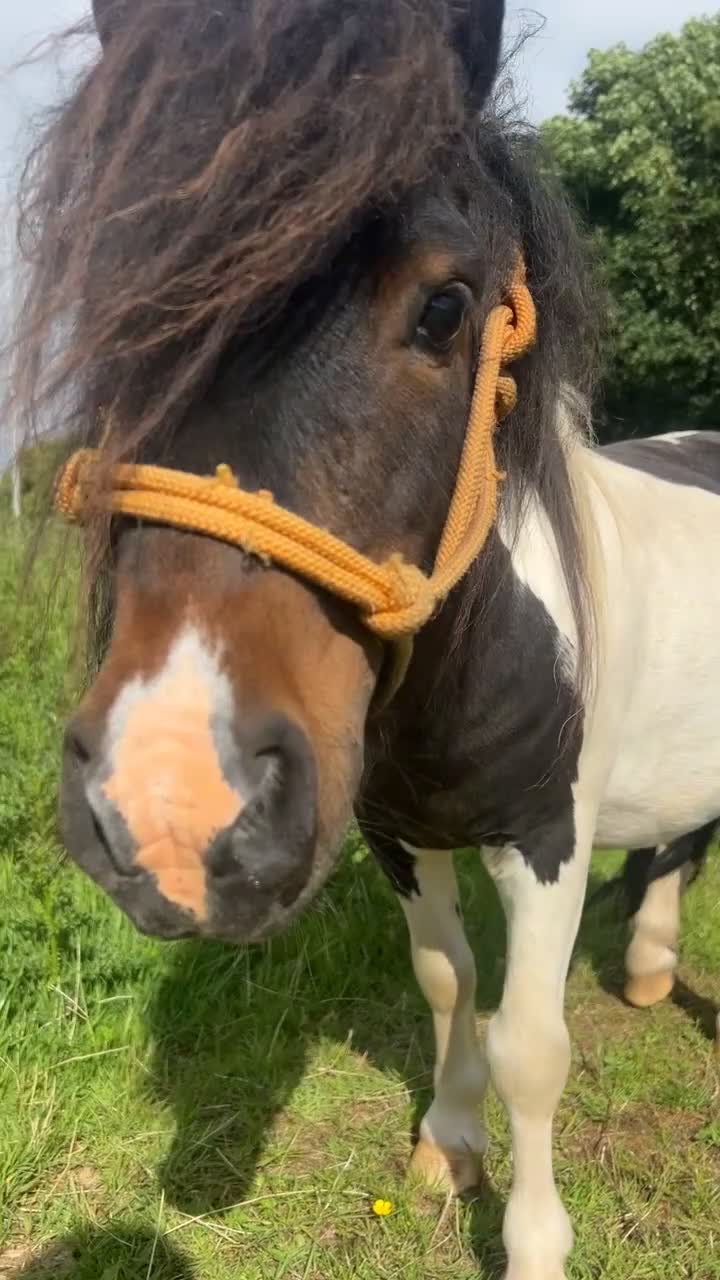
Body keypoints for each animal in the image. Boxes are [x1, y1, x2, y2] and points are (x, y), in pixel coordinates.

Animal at [10, 2, 720, 1277]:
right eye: (119, 308)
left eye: (444, 306)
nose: (170, 803)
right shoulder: (398, 834)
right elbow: (446, 978)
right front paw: (450, 1141)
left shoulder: (547, 836)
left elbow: (531, 1041)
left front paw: (534, 1241)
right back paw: (647, 966)